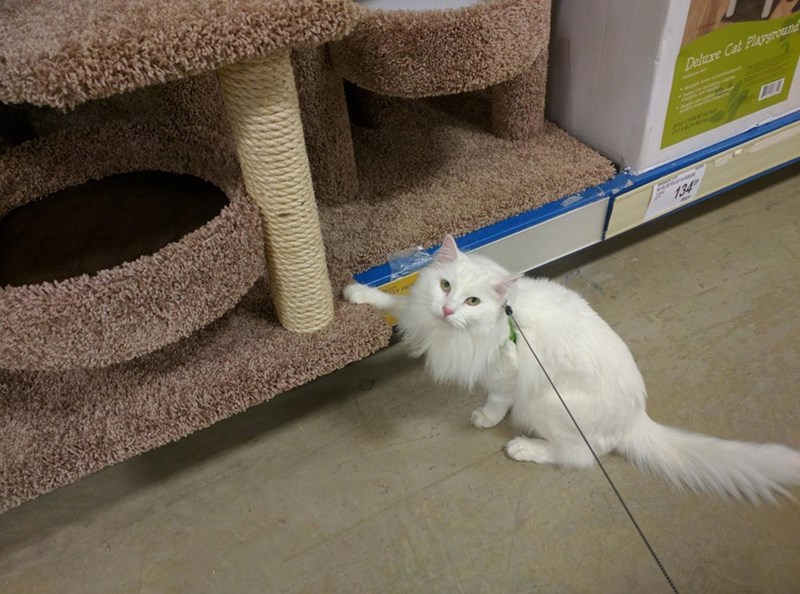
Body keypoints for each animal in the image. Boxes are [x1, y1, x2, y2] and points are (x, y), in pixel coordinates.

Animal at [345, 234, 800, 502]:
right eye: (445, 286)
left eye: (472, 302)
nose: (447, 309)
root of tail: (636, 415)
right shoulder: (418, 313)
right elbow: (394, 303)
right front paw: (357, 293)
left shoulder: (506, 374)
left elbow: (496, 401)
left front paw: (485, 419)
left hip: (547, 403)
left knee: (581, 455)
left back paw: (523, 447)